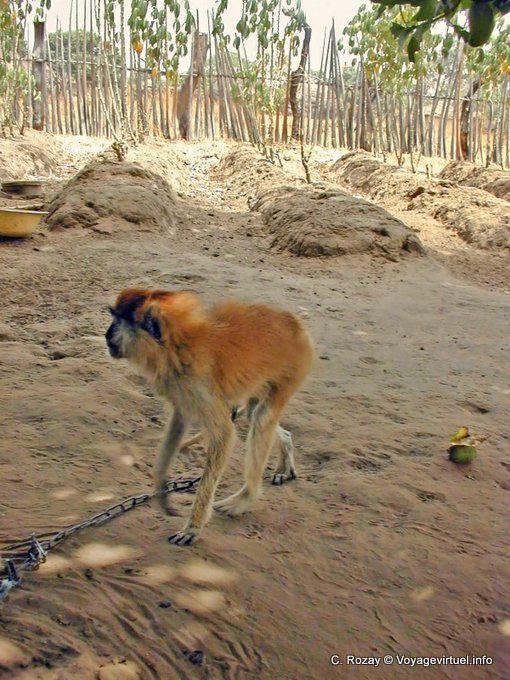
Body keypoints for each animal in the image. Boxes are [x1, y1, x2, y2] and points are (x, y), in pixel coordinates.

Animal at [105, 288, 314, 546]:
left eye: (118, 321)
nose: (107, 334)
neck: (176, 344)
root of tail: (293, 323)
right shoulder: (181, 386)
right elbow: (180, 419)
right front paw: (161, 488)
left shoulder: (198, 381)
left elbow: (224, 434)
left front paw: (193, 527)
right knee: (256, 413)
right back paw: (285, 449)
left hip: (294, 367)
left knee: (262, 417)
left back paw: (246, 497)